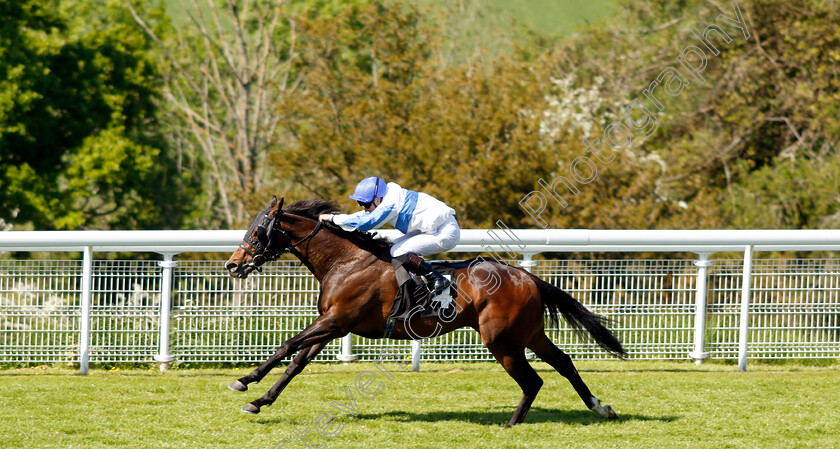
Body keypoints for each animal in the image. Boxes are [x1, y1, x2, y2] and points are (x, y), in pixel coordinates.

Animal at [223, 197, 624, 428]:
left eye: (258, 231)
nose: (232, 265)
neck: (346, 261)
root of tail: (526, 276)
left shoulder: (336, 320)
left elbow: (287, 345)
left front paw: (243, 381)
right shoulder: (333, 325)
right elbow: (296, 363)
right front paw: (259, 401)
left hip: (502, 341)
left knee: (533, 380)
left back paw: (511, 424)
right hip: (528, 334)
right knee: (564, 362)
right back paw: (600, 408)